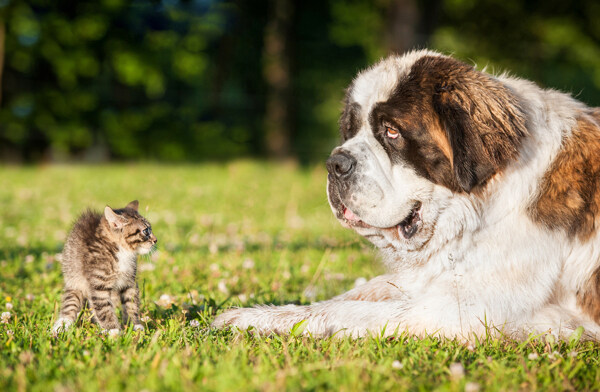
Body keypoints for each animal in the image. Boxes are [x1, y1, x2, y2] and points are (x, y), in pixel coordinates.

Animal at [51, 202, 156, 334]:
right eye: (145, 231)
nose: (155, 240)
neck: (122, 252)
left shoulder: (130, 282)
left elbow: (131, 304)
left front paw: (134, 325)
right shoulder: (98, 285)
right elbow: (104, 309)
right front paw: (114, 331)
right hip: (73, 277)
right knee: (71, 301)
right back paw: (62, 324)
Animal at [212, 49, 600, 340]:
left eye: (392, 132)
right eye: (351, 130)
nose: (335, 164)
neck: (484, 203)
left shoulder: (467, 309)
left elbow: (349, 309)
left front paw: (255, 319)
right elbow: (361, 291)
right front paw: (267, 310)